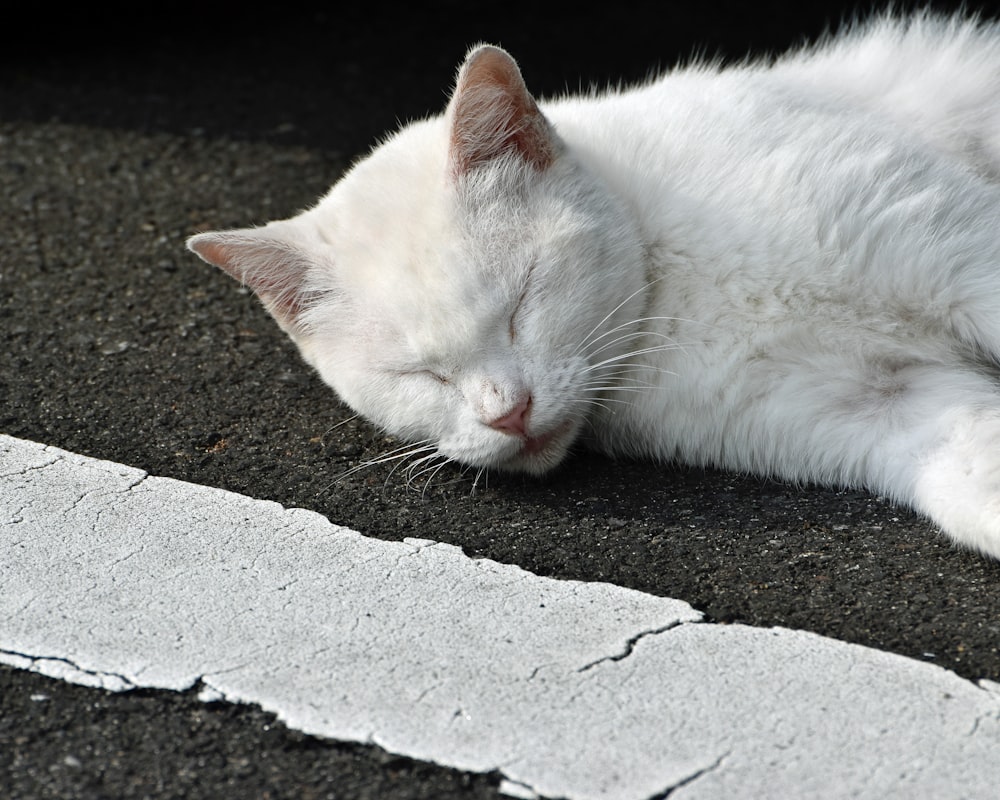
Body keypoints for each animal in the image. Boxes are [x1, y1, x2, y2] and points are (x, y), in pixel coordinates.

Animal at [191, 14, 1000, 564]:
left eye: (521, 303)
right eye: (420, 374)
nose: (507, 413)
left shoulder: (965, 256)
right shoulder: (879, 402)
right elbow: (969, 464)